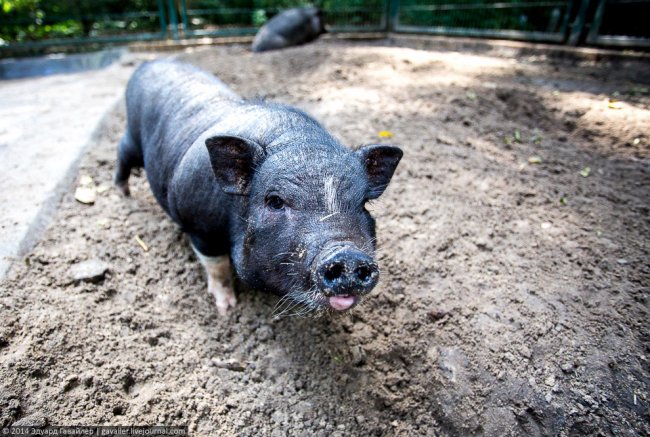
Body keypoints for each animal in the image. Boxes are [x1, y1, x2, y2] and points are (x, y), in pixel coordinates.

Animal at [116, 60, 400, 314]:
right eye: (275, 201)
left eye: (363, 205)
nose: (349, 255)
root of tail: (148, 64)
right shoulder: (198, 225)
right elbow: (217, 267)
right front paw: (227, 309)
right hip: (132, 137)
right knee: (122, 153)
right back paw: (123, 194)